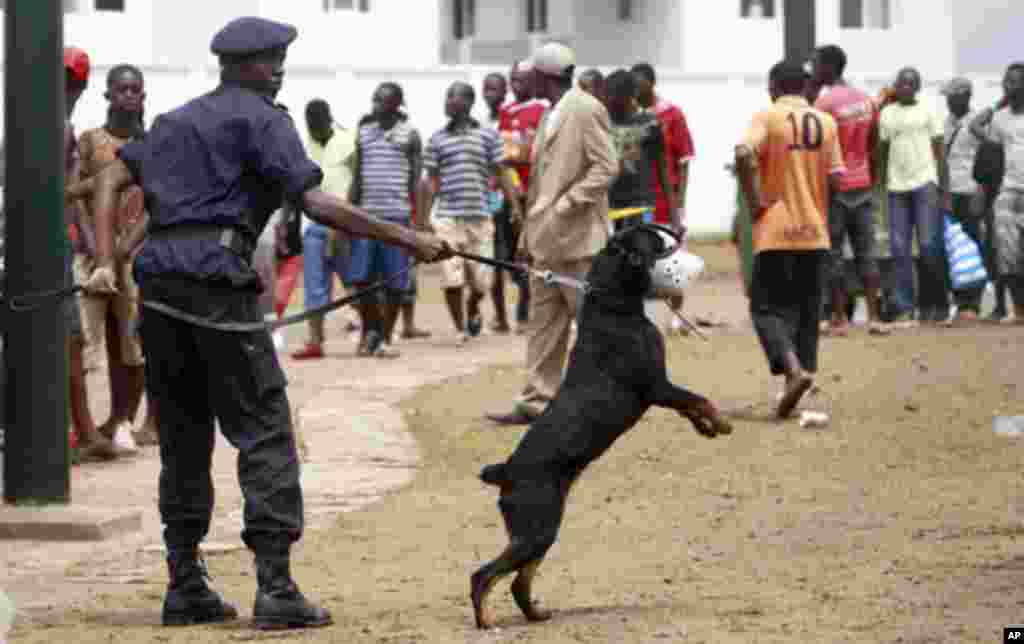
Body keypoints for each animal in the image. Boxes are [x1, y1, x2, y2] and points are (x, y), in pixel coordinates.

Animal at [468, 225, 733, 626]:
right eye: (659, 242)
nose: (679, 229)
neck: (614, 304)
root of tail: (505, 472)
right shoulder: (657, 386)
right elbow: (698, 399)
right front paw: (721, 422)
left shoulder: (659, 390)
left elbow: (689, 407)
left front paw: (708, 428)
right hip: (536, 528)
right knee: (484, 575)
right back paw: (486, 620)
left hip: (541, 531)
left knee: (518, 580)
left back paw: (536, 614)